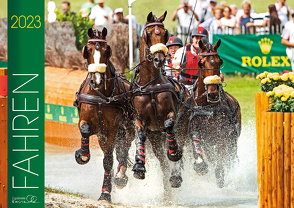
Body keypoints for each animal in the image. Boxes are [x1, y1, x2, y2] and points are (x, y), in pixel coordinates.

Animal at [73, 26, 133, 202]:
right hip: (102, 137)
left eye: (107, 50)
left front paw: (105, 193)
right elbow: (85, 129)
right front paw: (82, 155)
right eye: (87, 49)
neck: (100, 95)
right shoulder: (91, 125)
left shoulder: (112, 131)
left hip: (128, 130)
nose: (97, 81)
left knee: (123, 149)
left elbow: (108, 160)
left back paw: (120, 176)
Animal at [189, 37, 242, 188]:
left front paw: (220, 178)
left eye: (220, 62)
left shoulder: (222, 135)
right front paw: (200, 165)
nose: (213, 93)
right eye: (201, 63)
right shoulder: (198, 131)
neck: (207, 106)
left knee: (229, 157)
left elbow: (220, 162)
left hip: (233, 139)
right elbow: (197, 142)